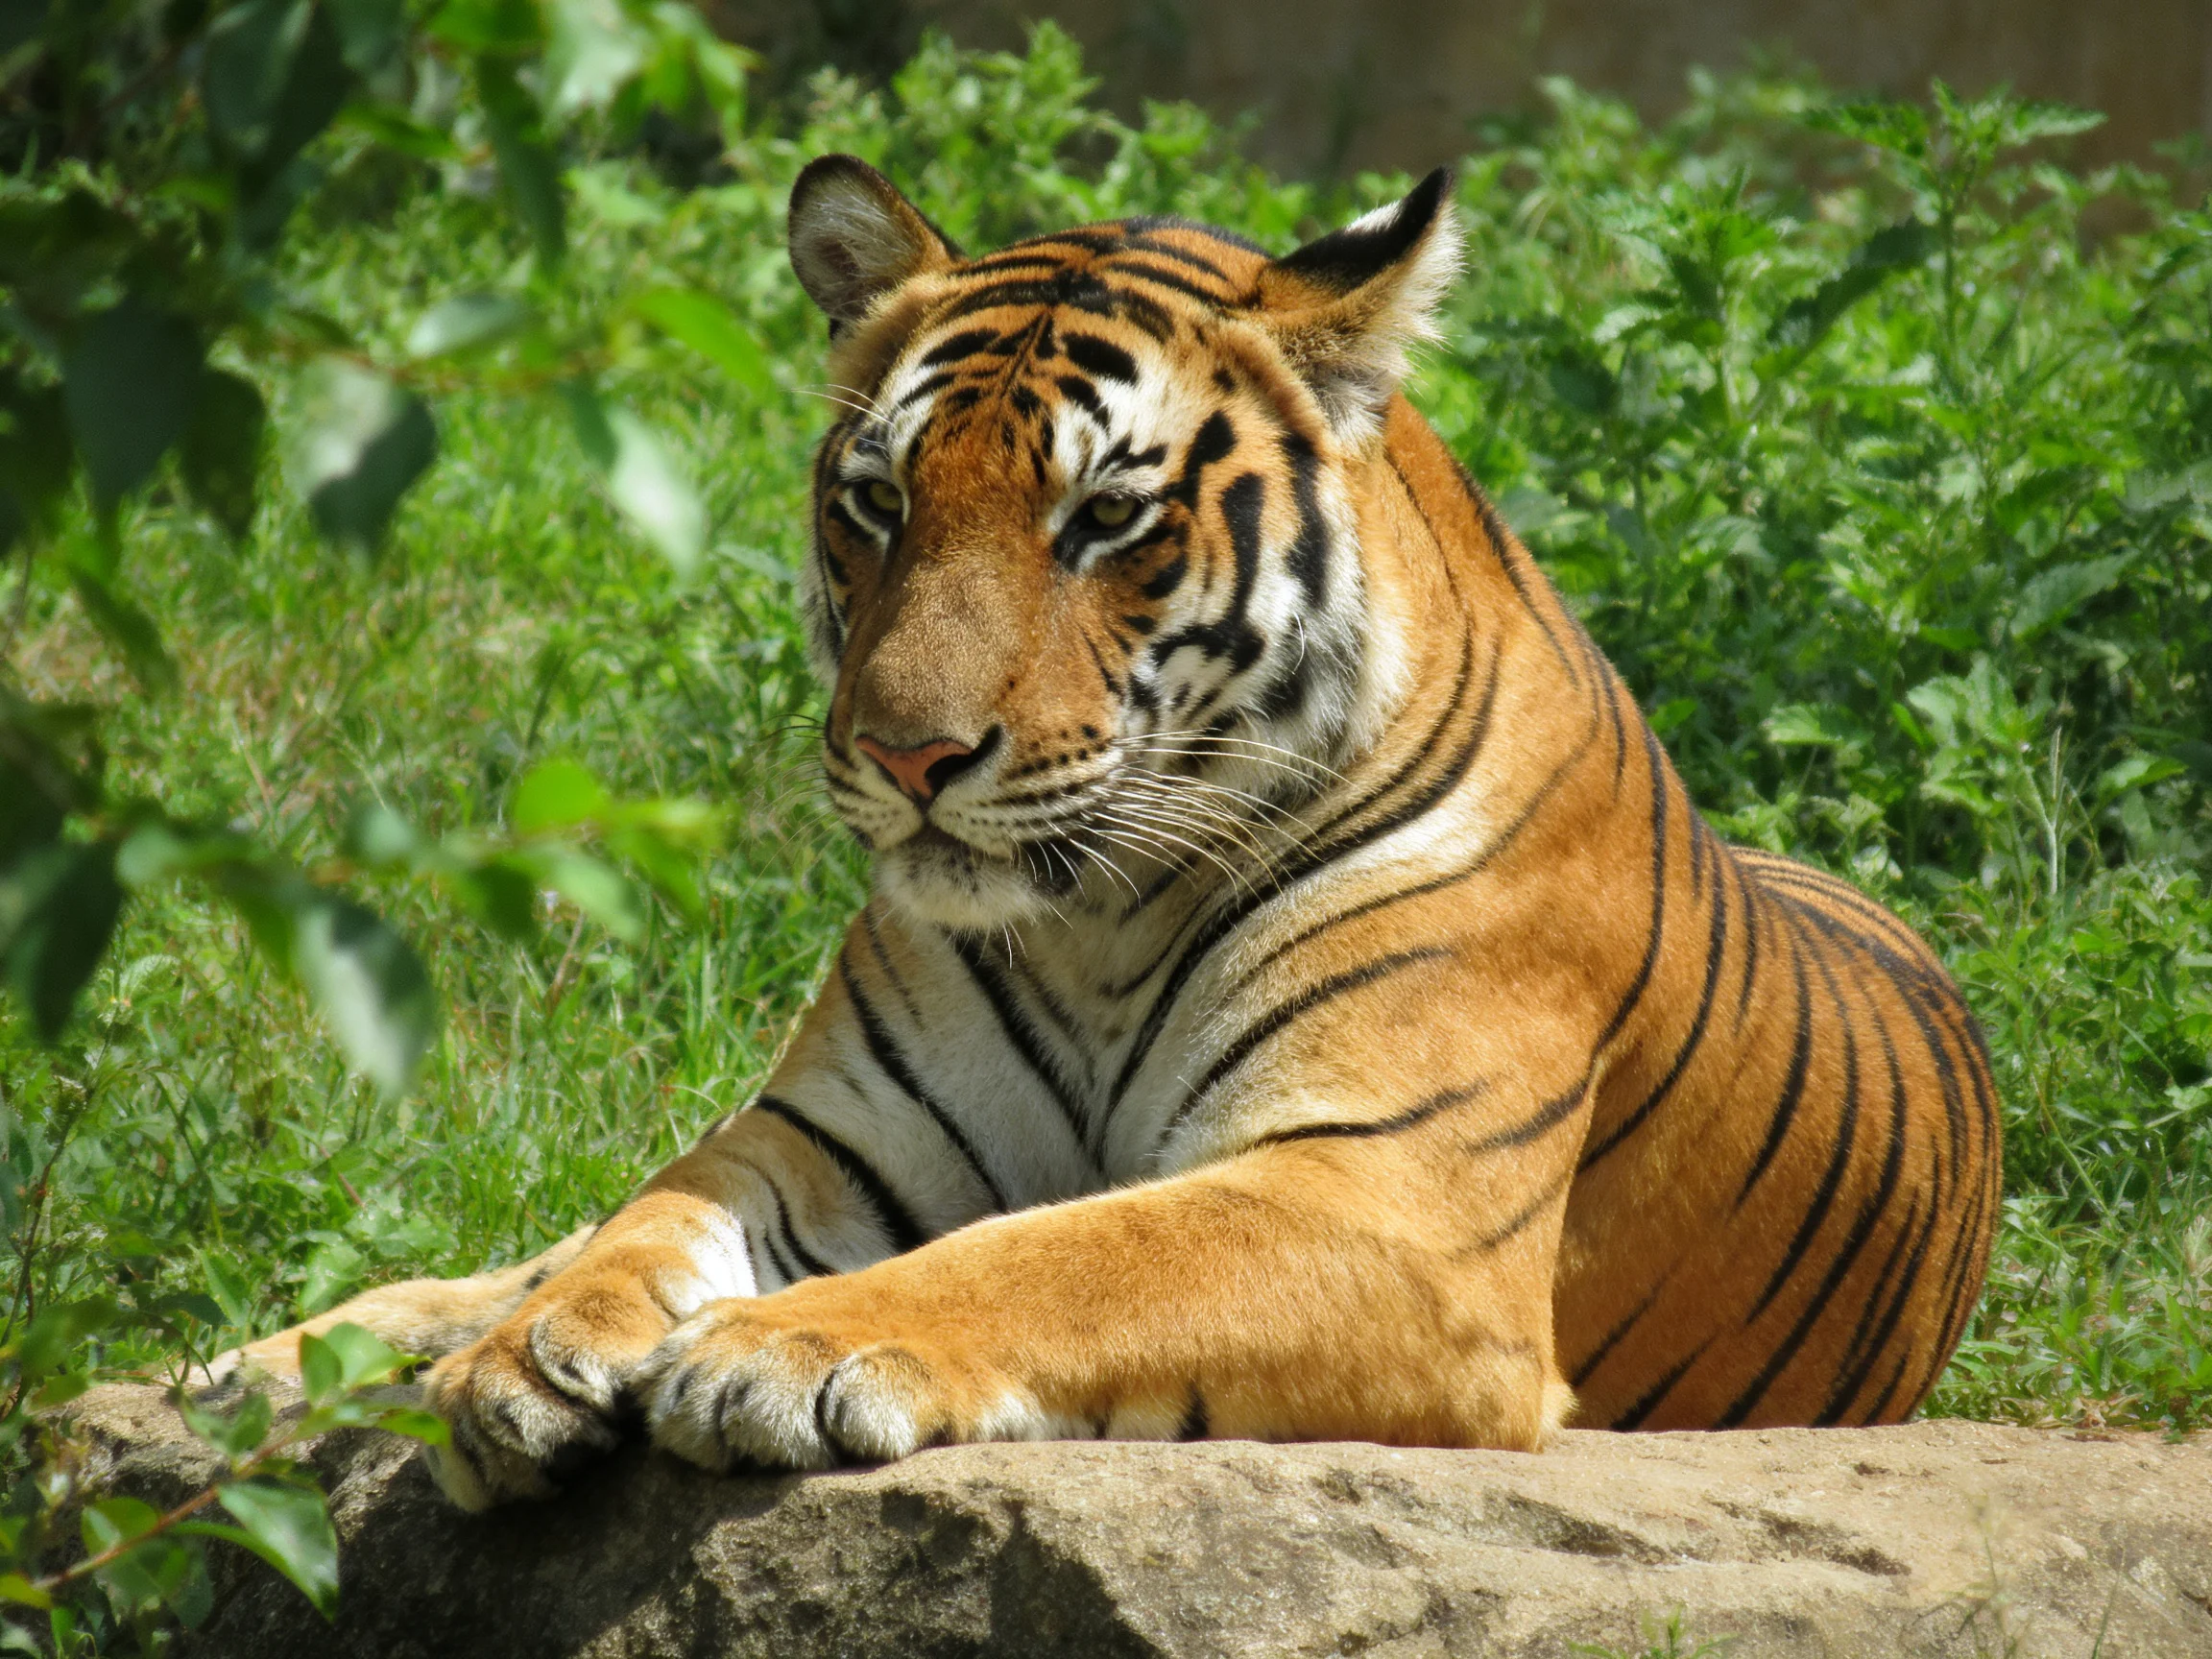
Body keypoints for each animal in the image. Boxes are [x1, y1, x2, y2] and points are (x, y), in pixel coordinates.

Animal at [220, 156, 2000, 1510]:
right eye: (877, 502)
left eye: (1107, 518)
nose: (906, 752)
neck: (1098, 917)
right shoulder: (828, 1134)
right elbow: (653, 1213)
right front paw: (525, 1360)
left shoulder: (1387, 1198)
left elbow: (1068, 1253)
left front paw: (774, 1351)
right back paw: (285, 1364)